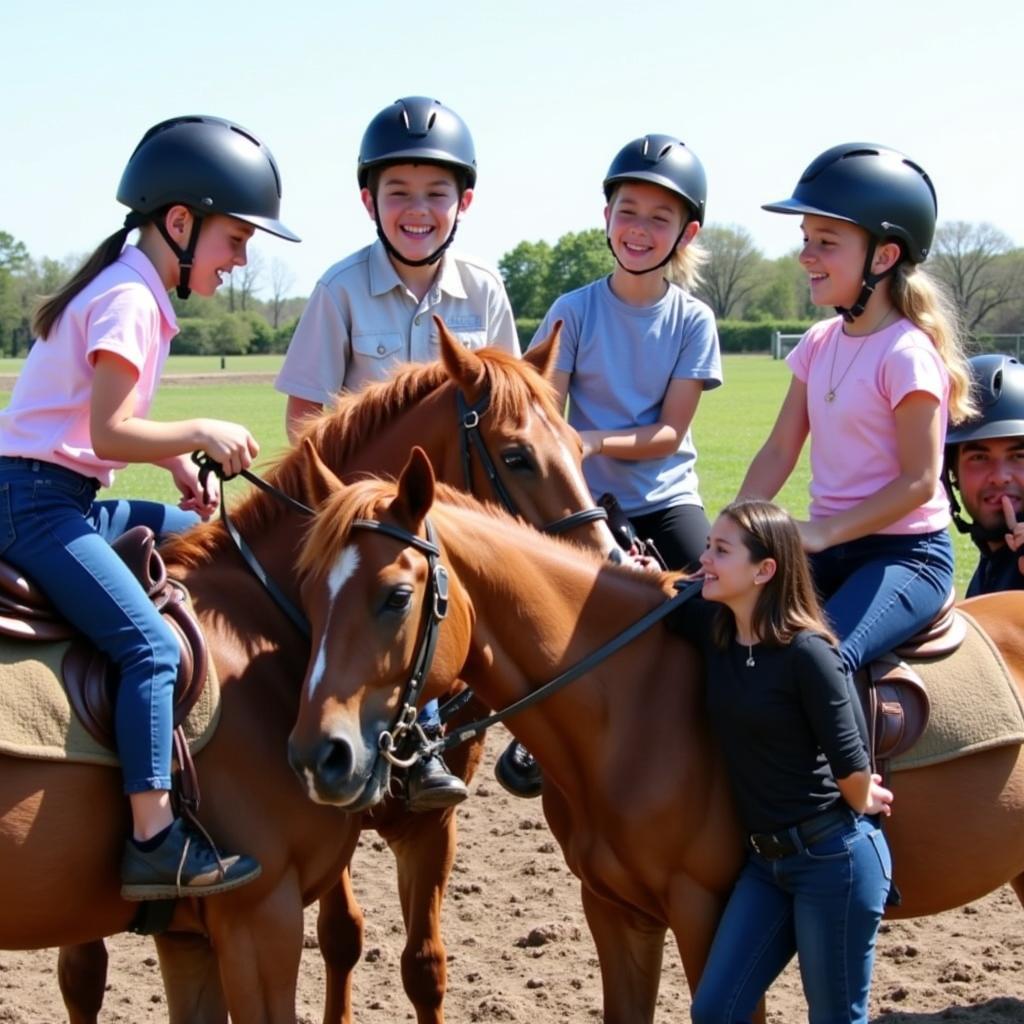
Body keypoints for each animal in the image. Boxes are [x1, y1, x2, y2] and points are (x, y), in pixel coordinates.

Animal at [8, 321, 610, 1024]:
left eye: (578, 444)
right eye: (517, 456)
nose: (600, 573)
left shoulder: (206, 929)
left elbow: (420, 964)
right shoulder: (257, 917)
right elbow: (338, 940)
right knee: (82, 974)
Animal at [284, 452, 1024, 1024]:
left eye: (395, 598)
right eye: (309, 594)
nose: (320, 755)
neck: (628, 708)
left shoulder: (710, 914)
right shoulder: (614, 910)